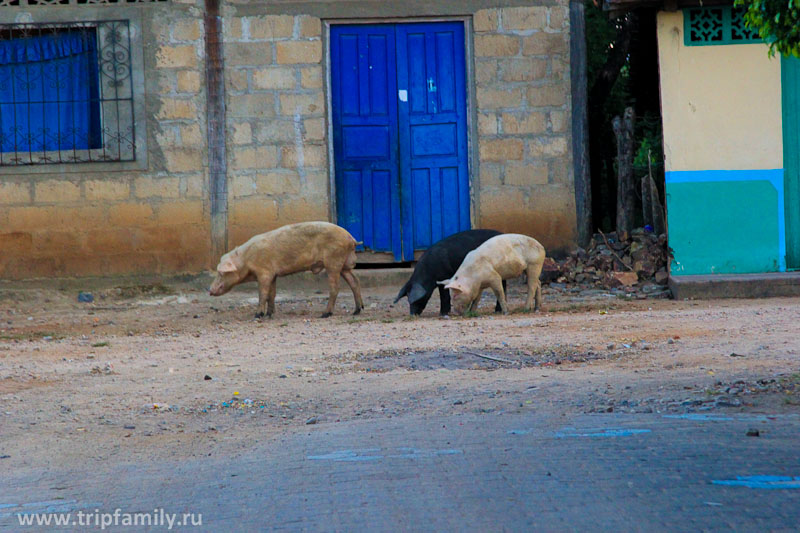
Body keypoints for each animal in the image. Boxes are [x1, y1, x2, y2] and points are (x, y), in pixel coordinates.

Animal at [209, 220, 366, 316]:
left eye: (220, 273)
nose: (209, 290)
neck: (246, 260)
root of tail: (351, 238)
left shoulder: (264, 272)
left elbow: (262, 294)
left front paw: (258, 315)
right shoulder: (273, 274)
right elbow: (272, 294)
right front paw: (269, 314)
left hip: (333, 262)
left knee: (335, 287)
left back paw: (325, 314)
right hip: (344, 265)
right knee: (355, 282)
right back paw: (357, 311)